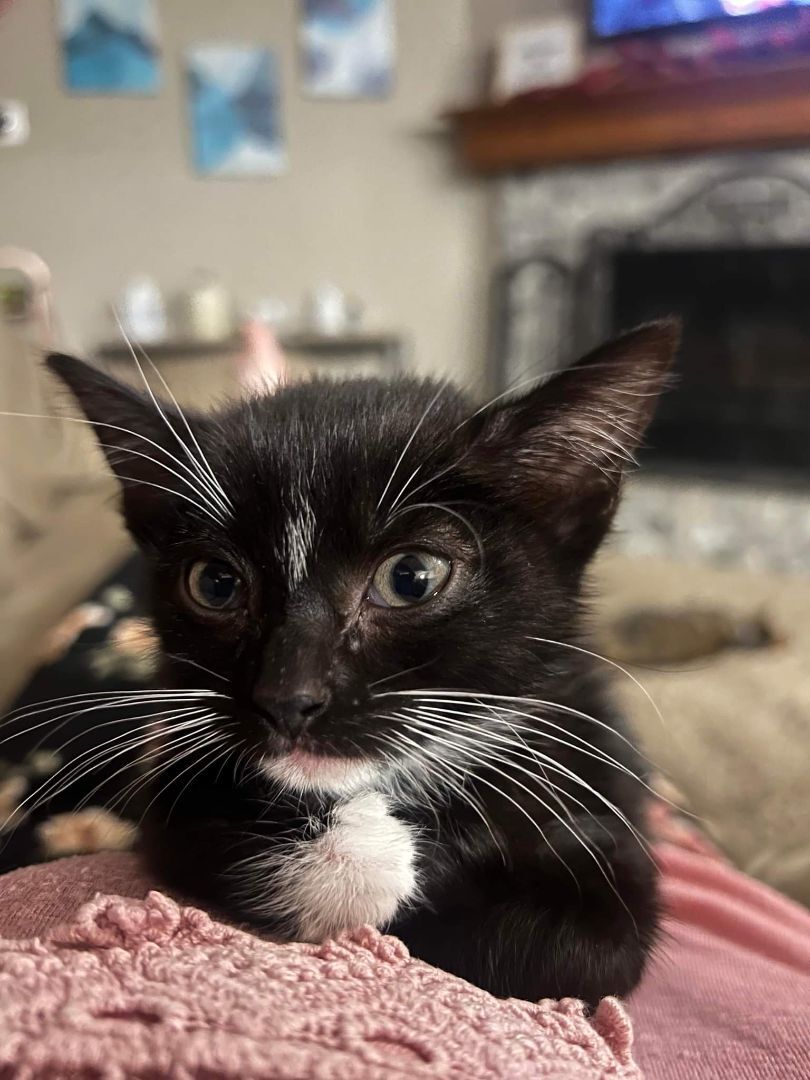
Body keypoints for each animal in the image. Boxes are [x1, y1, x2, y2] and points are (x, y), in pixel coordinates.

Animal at [49, 321, 678, 1002]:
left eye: (412, 577)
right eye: (215, 584)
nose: (287, 698)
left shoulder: (601, 777)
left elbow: (579, 949)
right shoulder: (172, 778)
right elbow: (195, 837)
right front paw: (359, 868)